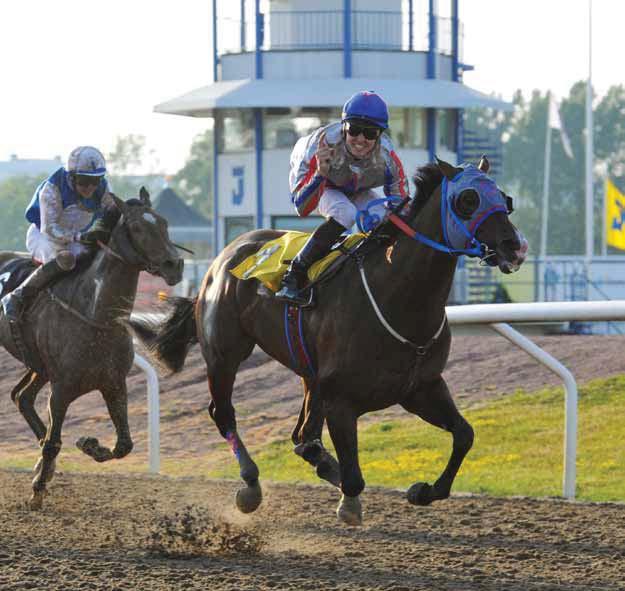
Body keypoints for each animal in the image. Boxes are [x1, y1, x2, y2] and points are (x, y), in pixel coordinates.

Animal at [130, 158, 528, 528]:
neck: (398, 298)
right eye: (468, 199)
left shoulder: (421, 388)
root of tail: (224, 256)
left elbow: (464, 435)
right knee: (224, 413)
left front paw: (423, 490)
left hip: (308, 373)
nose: (515, 246)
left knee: (302, 435)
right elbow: (353, 478)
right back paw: (251, 485)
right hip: (225, 353)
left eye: (505, 200)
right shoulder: (341, 400)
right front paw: (348, 502)